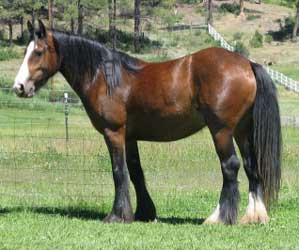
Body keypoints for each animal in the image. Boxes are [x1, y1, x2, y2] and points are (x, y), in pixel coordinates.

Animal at [12, 20, 282, 225]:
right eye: (25, 52)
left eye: (38, 52)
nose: (19, 87)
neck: (106, 76)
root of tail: (247, 63)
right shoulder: (130, 137)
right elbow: (136, 173)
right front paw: (144, 213)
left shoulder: (113, 133)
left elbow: (118, 171)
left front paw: (117, 215)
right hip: (242, 130)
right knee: (250, 166)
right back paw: (254, 217)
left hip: (222, 131)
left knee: (230, 166)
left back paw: (218, 218)